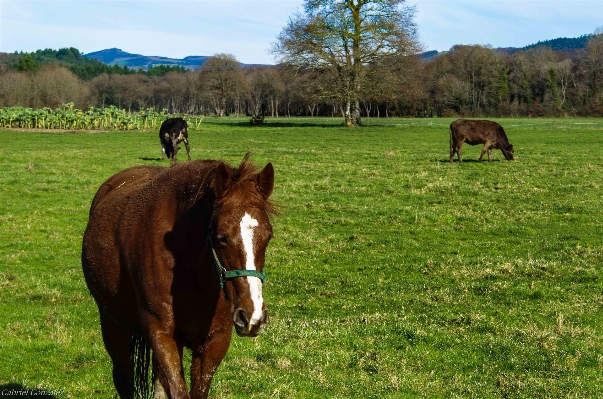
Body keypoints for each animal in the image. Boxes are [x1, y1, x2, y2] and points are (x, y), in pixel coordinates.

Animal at [81, 155, 278, 398]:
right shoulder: (162, 335)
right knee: (123, 378)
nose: (252, 316)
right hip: (112, 324)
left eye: (268, 237)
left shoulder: (214, 341)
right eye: (222, 237)